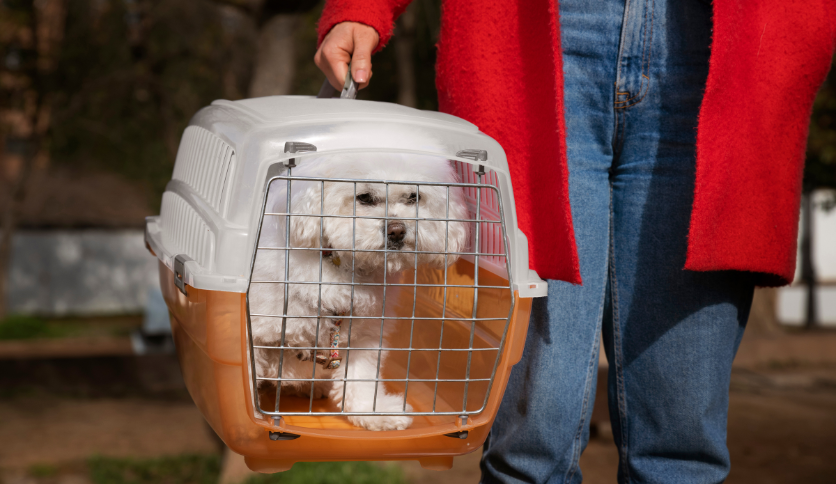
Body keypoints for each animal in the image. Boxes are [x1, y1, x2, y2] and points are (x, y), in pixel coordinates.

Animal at [248, 152, 470, 432]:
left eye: (413, 197)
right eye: (364, 197)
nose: (397, 230)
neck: (345, 269)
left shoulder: (364, 337)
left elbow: (360, 380)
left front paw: (376, 413)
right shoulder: (256, 332)